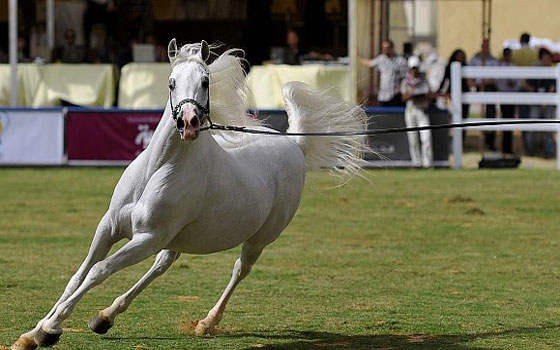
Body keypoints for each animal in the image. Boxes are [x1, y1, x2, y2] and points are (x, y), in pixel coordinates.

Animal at [12, 39, 368, 348]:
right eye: (170, 83)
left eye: (205, 82)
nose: (189, 122)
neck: (157, 168)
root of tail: (295, 144)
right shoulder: (110, 226)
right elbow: (80, 274)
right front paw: (32, 333)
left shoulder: (148, 237)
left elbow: (99, 271)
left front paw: (49, 329)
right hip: (179, 236)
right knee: (163, 264)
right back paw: (105, 317)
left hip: (259, 238)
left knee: (239, 270)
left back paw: (206, 323)